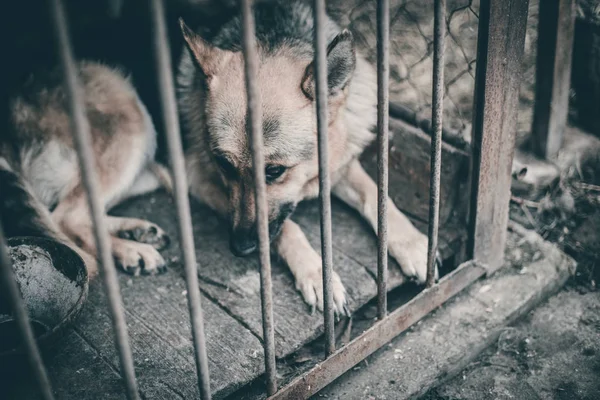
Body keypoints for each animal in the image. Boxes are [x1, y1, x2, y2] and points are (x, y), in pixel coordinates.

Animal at [1, 0, 440, 316]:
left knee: (79, 211)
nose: (240, 248)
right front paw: (318, 272)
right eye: (225, 166)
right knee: (66, 214)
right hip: (132, 123)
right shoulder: (200, 178)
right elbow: (288, 228)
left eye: (275, 171)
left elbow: (377, 196)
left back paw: (137, 233)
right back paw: (131, 251)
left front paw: (416, 245)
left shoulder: (340, 163)